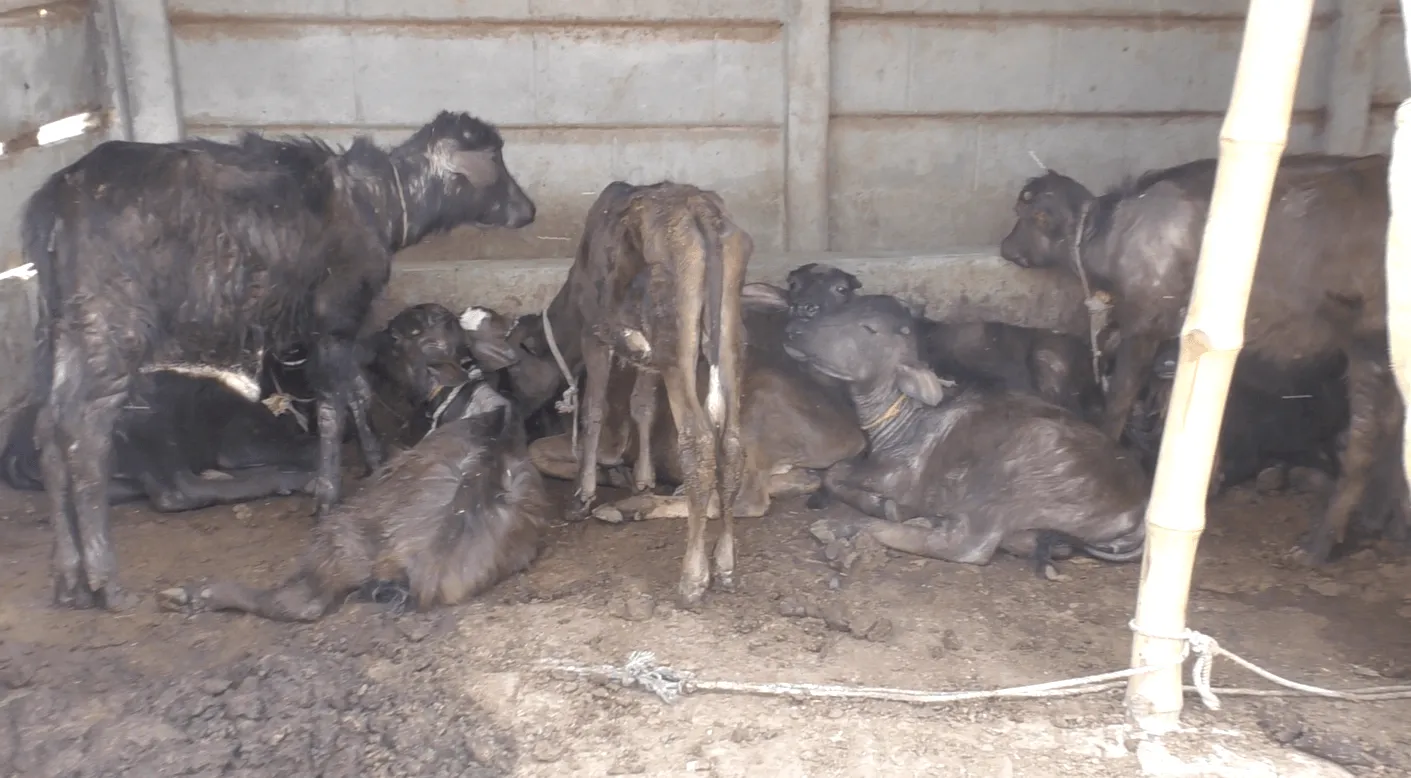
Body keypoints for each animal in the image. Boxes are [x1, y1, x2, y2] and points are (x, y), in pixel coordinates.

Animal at [23, 110, 536, 610]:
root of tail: (52, 206)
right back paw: (105, 583)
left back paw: (69, 580)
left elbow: (355, 393)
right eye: (494, 158)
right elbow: (333, 406)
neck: (379, 202)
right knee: (85, 434)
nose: (528, 210)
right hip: (111, 323)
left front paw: (373, 461)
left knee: (49, 426)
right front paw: (329, 494)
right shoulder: (336, 318)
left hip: (63, 323)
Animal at [783, 294, 1148, 578]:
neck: (906, 420)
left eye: (868, 328)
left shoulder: (895, 475)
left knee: (967, 547)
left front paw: (882, 505)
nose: (794, 330)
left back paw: (842, 528)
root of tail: (1138, 507)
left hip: (1002, 491)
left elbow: (835, 472)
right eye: (842, 307)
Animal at [997, 154, 1396, 563]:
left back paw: (1319, 544)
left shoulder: (1145, 326)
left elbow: (1120, 401)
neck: (1117, 235)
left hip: (1369, 342)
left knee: (1367, 437)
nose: (1006, 248)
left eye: (1028, 214)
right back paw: (1374, 520)